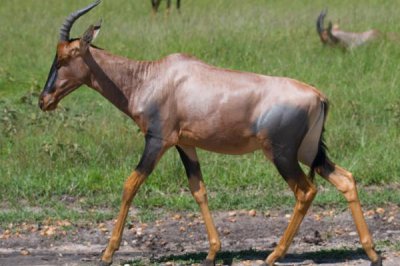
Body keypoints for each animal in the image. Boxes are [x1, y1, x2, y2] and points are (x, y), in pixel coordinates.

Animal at [39, 1, 382, 264]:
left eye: (65, 56)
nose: (44, 100)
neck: (153, 77)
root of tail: (318, 95)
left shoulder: (157, 141)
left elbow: (130, 185)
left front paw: (107, 253)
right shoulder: (185, 145)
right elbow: (199, 190)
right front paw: (212, 252)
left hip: (282, 154)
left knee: (305, 191)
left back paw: (274, 255)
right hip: (309, 152)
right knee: (346, 179)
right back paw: (372, 252)